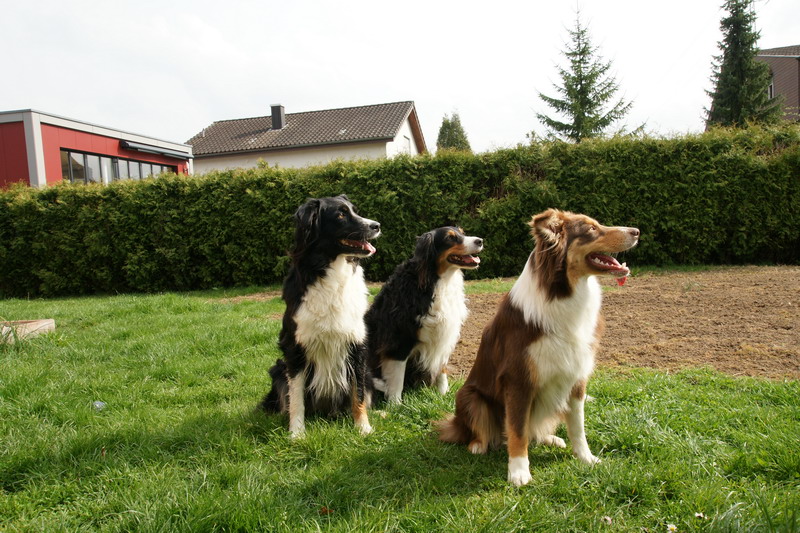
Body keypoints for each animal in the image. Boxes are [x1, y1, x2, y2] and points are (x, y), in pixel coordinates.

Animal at [260, 195, 380, 437]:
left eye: (355, 210)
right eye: (341, 214)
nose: (377, 225)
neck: (332, 272)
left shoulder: (357, 345)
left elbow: (359, 394)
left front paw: (363, 428)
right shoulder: (295, 347)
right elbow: (296, 398)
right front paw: (296, 434)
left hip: (369, 373)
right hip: (278, 369)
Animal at [366, 227, 483, 403]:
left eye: (463, 233)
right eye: (450, 238)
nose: (480, 241)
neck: (439, 281)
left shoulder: (444, 335)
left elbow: (442, 369)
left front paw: (443, 395)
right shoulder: (400, 339)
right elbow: (397, 378)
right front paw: (395, 404)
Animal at [438, 209, 639, 486]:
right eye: (590, 229)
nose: (636, 231)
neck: (562, 294)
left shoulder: (576, 377)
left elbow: (578, 425)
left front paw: (586, 458)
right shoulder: (518, 380)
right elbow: (518, 429)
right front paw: (519, 471)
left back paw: (550, 439)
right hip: (469, 396)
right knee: (477, 429)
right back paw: (478, 444)